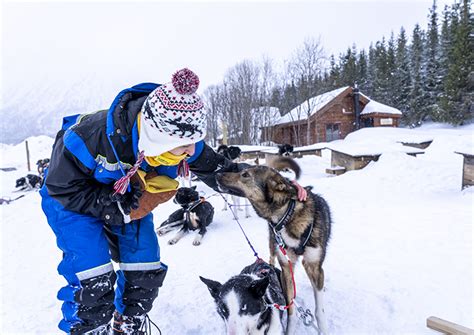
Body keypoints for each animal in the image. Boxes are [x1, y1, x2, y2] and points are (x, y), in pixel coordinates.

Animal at [217, 158, 332, 335]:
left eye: (245, 174)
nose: (217, 174)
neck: (287, 216)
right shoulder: (286, 267)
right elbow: (291, 308)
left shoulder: (313, 264)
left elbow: (319, 309)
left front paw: (324, 329)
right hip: (273, 246)